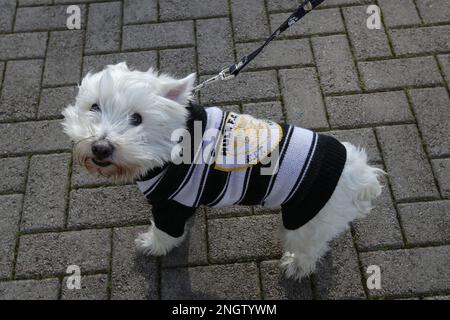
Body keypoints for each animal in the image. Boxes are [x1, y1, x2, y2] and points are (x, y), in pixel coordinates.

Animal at [61, 63, 382, 280]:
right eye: (94, 107)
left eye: (137, 118)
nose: (100, 148)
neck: (173, 143)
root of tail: (361, 174)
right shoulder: (181, 202)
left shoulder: (168, 206)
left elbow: (165, 233)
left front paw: (152, 245)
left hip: (304, 218)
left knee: (310, 248)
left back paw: (295, 266)